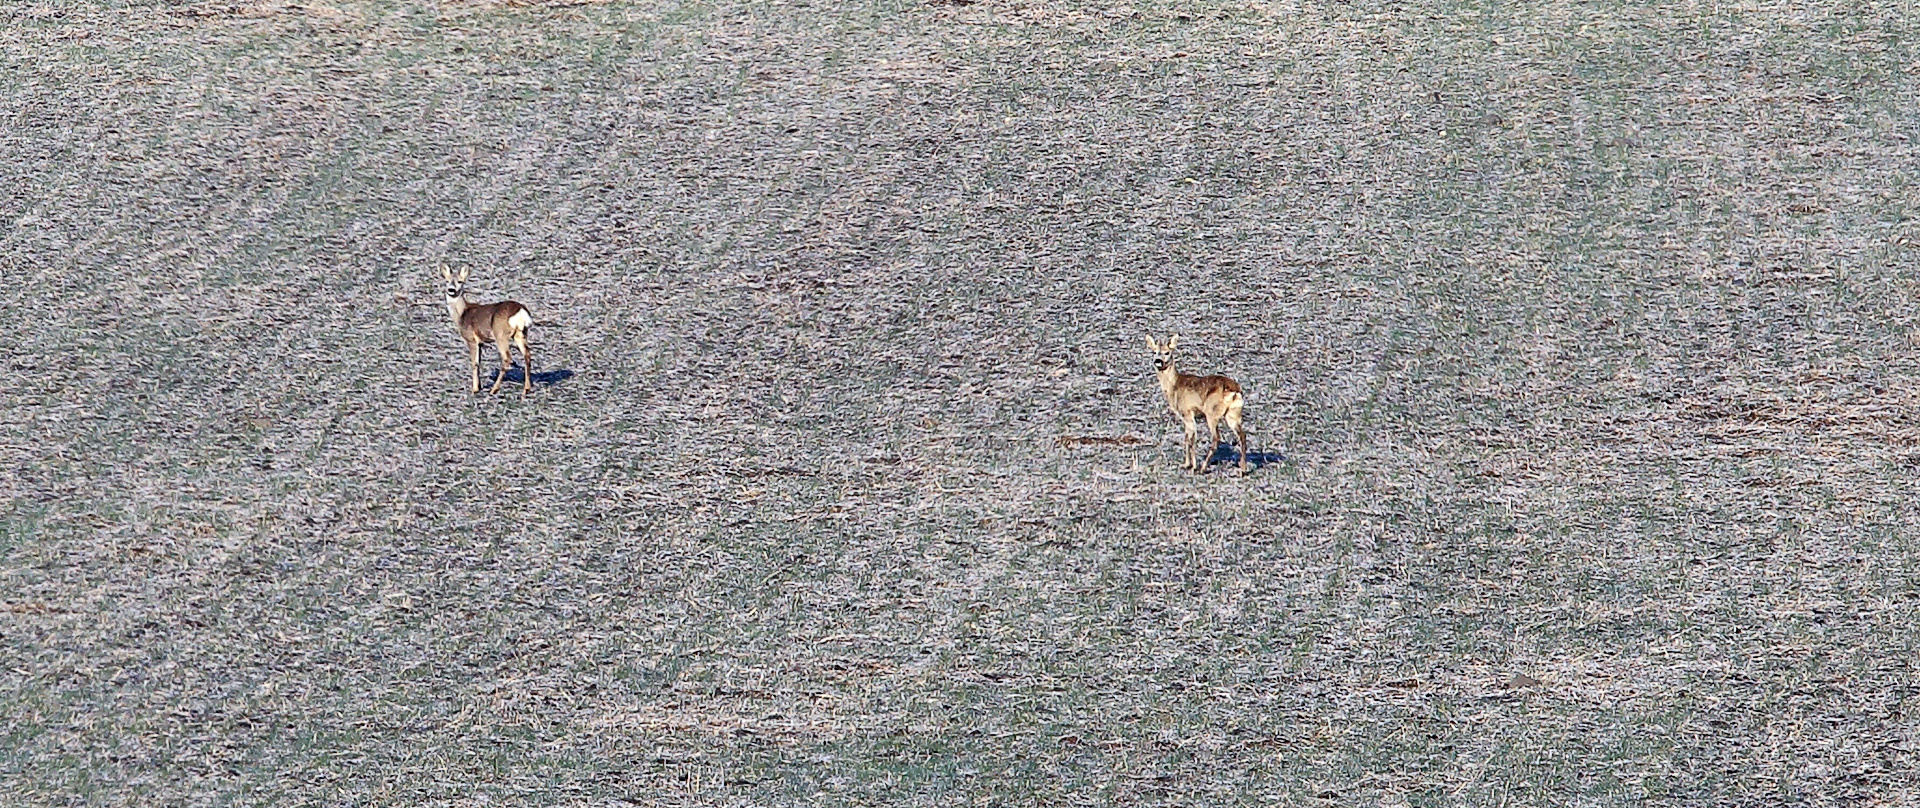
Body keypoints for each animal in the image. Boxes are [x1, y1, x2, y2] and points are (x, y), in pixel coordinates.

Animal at [445, 266, 537, 395]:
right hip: (521, 333)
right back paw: (526, 388)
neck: (462, 313)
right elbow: (479, 362)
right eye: (447, 281)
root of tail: (521, 312)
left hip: (501, 334)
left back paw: (494, 389)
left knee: (507, 358)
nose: (451, 290)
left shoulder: (471, 338)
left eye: (460, 281)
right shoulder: (480, 342)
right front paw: (478, 386)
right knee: (527, 354)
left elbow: (474, 362)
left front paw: (474, 389)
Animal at [1144, 332, 1251, 472]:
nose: (1158, 361)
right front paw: (1187, 464)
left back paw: (1203, 468)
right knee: (1242, 435)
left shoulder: (1187, 412)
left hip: (1212, 413)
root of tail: (1234, 390)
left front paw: (1192, 465)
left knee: (1217, 437)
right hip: (1233, 413)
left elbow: (1191, 439)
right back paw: (1243, 468)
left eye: (1167, 352)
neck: (1174, 386)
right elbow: (1187, 438)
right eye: (1154, 352)